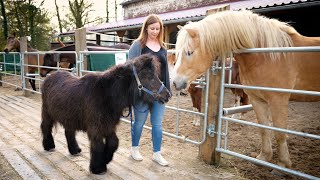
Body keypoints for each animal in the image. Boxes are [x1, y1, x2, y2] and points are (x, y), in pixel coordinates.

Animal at [41, 53, 171, 174]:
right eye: (149, 77)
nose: (168, 95)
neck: (106, 95)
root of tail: (49, 77)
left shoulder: (109, 125)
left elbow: (114, 142)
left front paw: (106, 158)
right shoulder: (96, 127)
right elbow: (98, 145)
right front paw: (98, 167)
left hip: (69, 117)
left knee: (69, 132)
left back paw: (75, 150)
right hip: (47, 113)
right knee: (45, 127)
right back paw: (49, 146)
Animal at [174, 10, 320, 169]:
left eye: (189, 52)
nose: (175, 82)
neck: (268, 55)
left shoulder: (278, 100)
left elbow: (280, 132)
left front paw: (282, 164)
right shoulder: (257, 99)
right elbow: (264, 128)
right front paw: (264, 157)